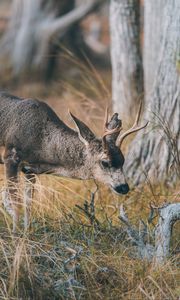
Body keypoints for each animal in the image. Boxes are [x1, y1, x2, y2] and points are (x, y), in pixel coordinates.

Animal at [0, 90, 147, 231]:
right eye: (105, 162)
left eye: (123, 160)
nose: (124, 187)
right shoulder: (11, 156)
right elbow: (13, 199)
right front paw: (15, 234)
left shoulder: (28, 169)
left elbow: (28, 202)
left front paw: (26, 232)